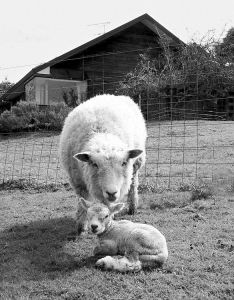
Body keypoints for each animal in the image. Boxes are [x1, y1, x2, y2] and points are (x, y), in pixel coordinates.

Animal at [59, 95, 146, 233]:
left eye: (124, 163)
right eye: (94, 164)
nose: (112, 193)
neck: (102, 134)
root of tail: (110, 95)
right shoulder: (78, 182)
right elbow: (82, 201)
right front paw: (81, 226)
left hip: (136, 165)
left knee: (133, 184)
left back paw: (133, 207)